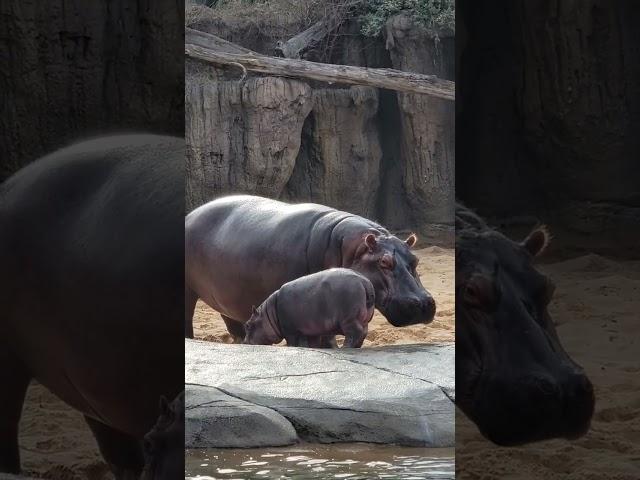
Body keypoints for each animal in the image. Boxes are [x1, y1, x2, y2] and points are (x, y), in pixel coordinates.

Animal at [244, 266, 376, 348]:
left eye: (248, 325)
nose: (244, 342)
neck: (269, 313)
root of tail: (365, 282)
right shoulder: (311, 331)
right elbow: (311, 343)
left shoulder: (290, 331)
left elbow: (292, 342)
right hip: (363, 320)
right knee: (363, 333)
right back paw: (356, 347)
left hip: (349, 320)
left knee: (355, 333)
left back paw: (346, 347)